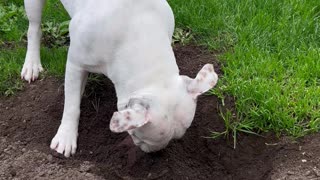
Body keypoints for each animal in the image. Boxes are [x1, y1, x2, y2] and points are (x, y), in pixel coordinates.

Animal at [21, 0, 219, 158]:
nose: (154, 153)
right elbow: (71, 106)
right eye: (139, 137)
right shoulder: (75, 64)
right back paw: (31, 64)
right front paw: (66, 136)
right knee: (34, 28)